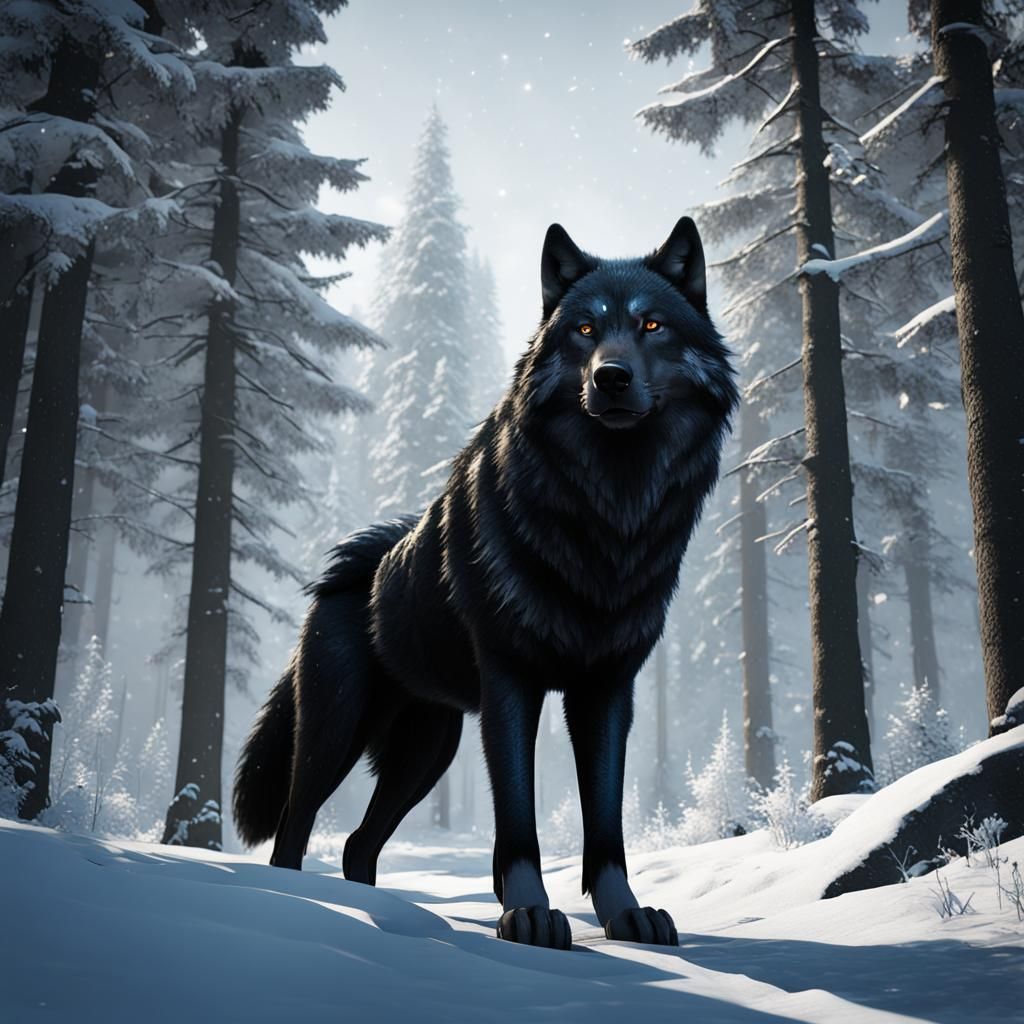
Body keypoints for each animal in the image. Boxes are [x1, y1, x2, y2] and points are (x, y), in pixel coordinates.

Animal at [233, 217, 738, 949]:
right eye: (585, 330)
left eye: (651, 325)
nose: (610, 378)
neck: (607, 510)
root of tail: (342, 573)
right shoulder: (510, 683)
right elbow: (518, 820)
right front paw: (526, 915)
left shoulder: (607, 691)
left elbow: (606, 824)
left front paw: (627, 915)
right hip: (337, 733)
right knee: (293, 833)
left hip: (426, 753)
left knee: (358, 843)